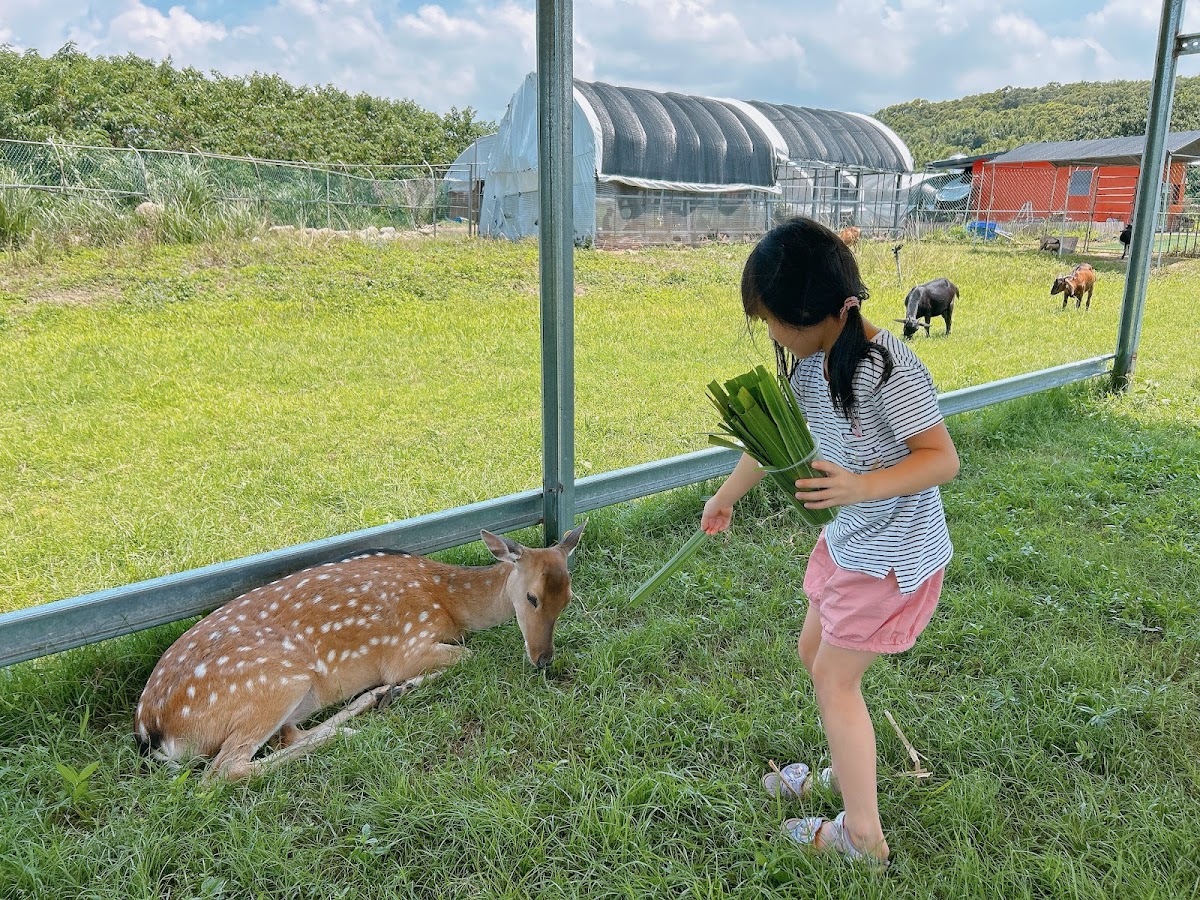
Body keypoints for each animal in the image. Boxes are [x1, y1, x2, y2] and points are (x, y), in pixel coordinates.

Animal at [133, 523, 585, 780]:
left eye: (568, 599)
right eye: (531, 598)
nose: (544, 660)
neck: (449, 604)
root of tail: (151, 730)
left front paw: (396, 690)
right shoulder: (407, 644)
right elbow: (471, 657)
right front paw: (403, 684)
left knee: (286, 736)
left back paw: (373, 704)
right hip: (273, 682)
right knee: (223, 772)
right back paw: (366, 714)